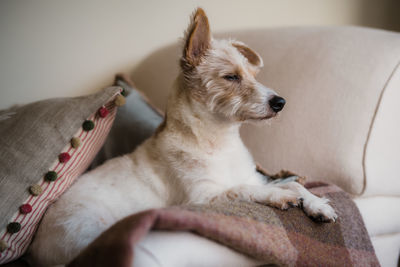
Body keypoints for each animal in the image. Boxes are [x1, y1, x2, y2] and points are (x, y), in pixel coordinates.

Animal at [28, 7, 336, 266]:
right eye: (231, 77)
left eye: (253, 75)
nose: (281, 102)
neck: (219, 141)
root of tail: (36, 250)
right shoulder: (202, 198)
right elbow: (244, 190)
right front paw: (278, 196)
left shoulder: (253, 176)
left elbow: (293, 184)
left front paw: (318, 205)